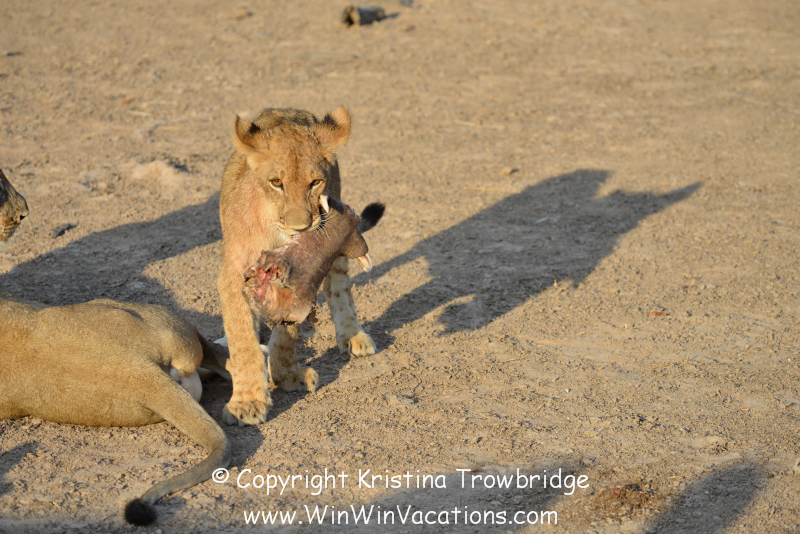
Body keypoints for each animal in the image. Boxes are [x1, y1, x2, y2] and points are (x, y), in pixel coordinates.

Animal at [217, 107, 379, 425]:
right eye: (276, 182)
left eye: (315, 183)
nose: (301, 227)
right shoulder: (232, 276)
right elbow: (243, 341)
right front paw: (247, 402)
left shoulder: (299, 285)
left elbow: (287, 334)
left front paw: (285, 375)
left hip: (338, 250)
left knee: (340, 286)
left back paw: (353, 335)